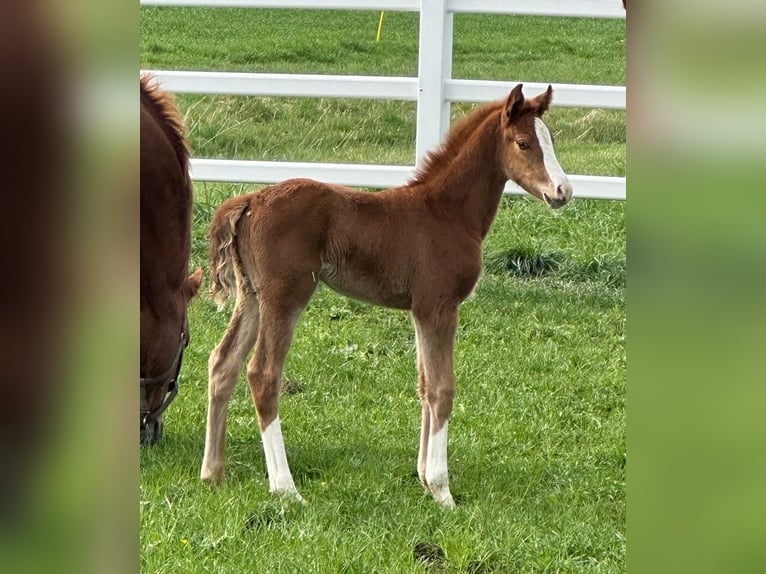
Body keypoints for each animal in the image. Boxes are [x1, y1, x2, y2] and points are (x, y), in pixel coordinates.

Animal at [201, 83, 572, 506]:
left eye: (550, 139)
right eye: (524, 143)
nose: (563, 191)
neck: (446, 212)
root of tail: (248, 201)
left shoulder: (421, 310)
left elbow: (425, 385)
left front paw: (424, 479)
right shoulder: (440, 305)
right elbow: (443, 389)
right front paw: (443, 491)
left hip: (252, 297)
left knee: (223, 362)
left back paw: (212, 472)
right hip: (285, 296)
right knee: (262, 374)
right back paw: (285, 487)